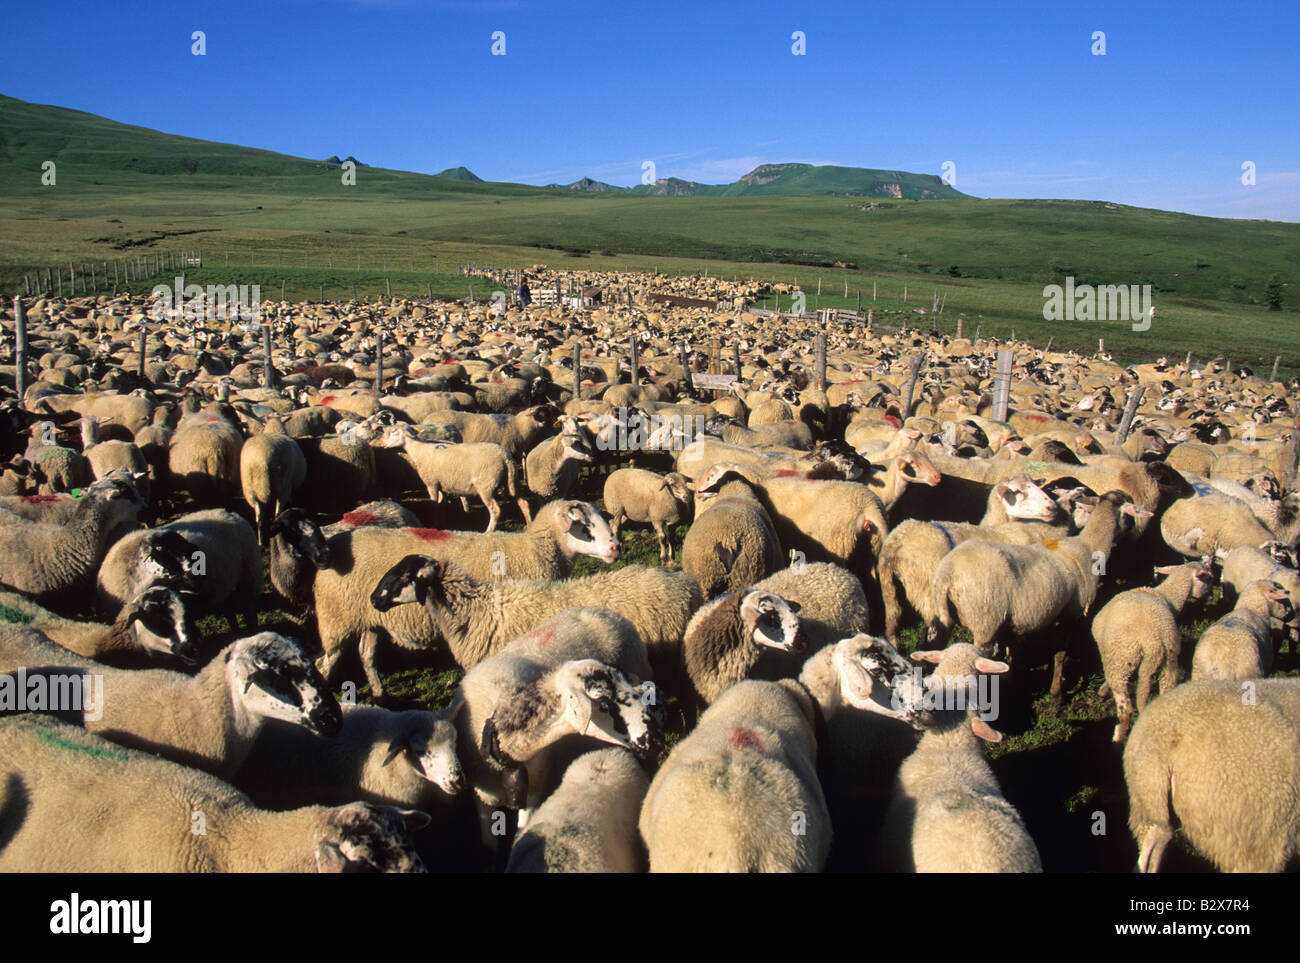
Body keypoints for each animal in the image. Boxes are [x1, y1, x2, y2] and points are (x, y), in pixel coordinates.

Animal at [96, 508, 263, 624]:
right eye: (165, 552)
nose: (200, 576)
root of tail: (230, 512)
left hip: (250, 573)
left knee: (250, 612)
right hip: (224, 586)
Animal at [379, 424, 529, 532]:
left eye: (393, 431)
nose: (381, 443)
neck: (419, 451)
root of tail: (505, 456)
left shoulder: (431, 484)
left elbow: (434, 505)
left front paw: (435, 524)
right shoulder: (441, 484)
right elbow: (441, 504)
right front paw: (442, 522)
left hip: (486, 486)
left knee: (496, 510)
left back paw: (488, 531)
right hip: (511, 481)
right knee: (523, 502)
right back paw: (528, 524)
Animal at [1090, 561, 1215, 742]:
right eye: (1208, 579)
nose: (1211, 597)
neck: (1164, 595)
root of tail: (1154, 642)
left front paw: (1102, 689)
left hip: (1122, 659)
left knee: (1125, 706)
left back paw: (1118, 737)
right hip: (1168, 661)